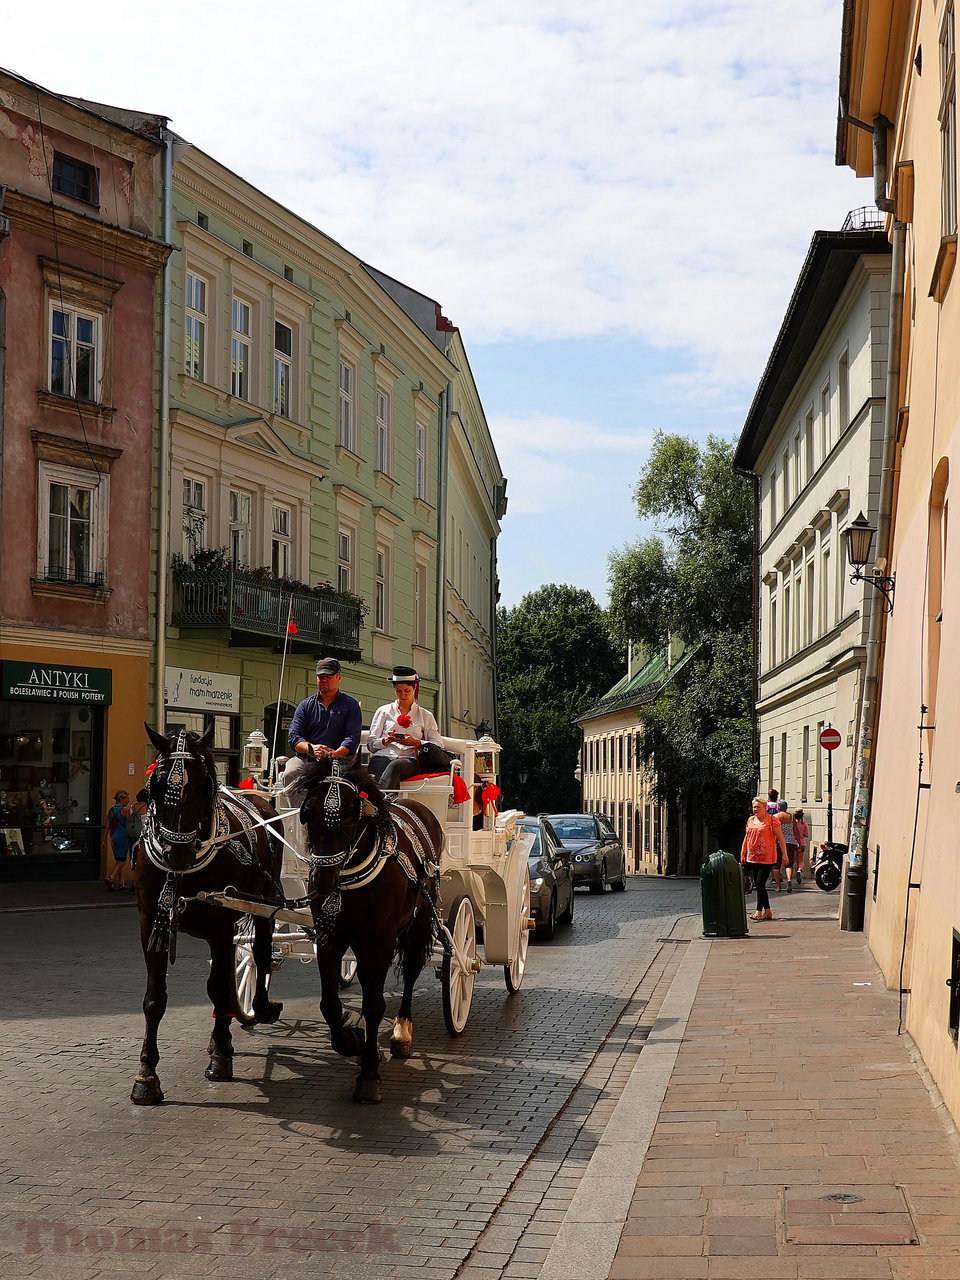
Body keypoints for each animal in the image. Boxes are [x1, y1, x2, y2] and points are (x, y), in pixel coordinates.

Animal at [133, 727, 288, 1105]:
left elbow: (217, 986)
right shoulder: (150, 924)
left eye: (204, 785)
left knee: (260, 950)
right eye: (156, 784)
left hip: (262, 900)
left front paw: (220, 1056)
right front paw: (147, 1076)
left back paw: (258, 1009)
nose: (176, 852)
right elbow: (154, 1000)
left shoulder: (221, 924)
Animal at [293, 752, 442, 1105]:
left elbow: (374, 1006)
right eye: (307, 813)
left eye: (350, 816)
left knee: (411, 970)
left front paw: (369, 1075)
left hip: (418, 921)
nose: (322, 880)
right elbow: (329, 1003)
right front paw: (352, 1041)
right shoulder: (330, 938)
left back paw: (402, 1031)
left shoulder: (380, 942)